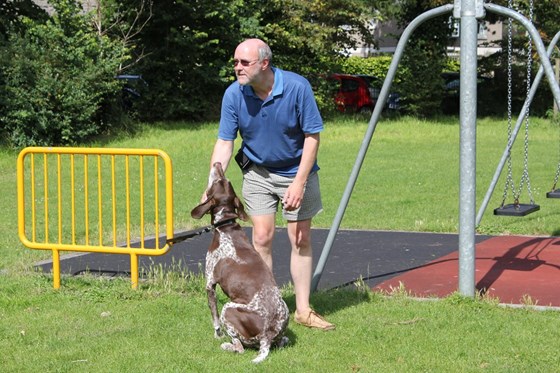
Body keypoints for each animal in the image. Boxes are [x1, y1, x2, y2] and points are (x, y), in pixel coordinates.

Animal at [191, 161, 288, 362]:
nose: (217, 163)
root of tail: (267, 336)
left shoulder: (209, 283)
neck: (226, 225)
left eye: (218, 181)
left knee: (240, 347)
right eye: (225, 180)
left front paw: (217, 334)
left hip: (229, 308)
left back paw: (227, 344)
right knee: (283, 341)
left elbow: (214, 316)